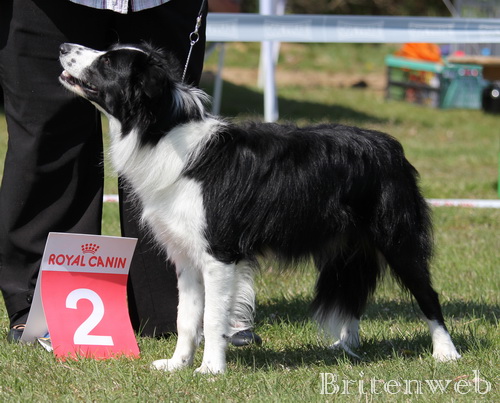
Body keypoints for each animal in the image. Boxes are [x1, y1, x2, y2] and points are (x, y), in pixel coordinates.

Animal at [59, 42, 461, 373]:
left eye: (107, 62)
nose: (62, 46)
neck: (160, 132)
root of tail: (389, 145)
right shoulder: (187, 256)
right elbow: (186, 317)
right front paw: (177, 364)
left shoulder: (220, 254)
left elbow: (213, 318)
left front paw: (210, 370)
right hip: (347, 248)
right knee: (352, 296)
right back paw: (344, 346)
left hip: (397, 237)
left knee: (428, 295)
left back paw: (446, 353)